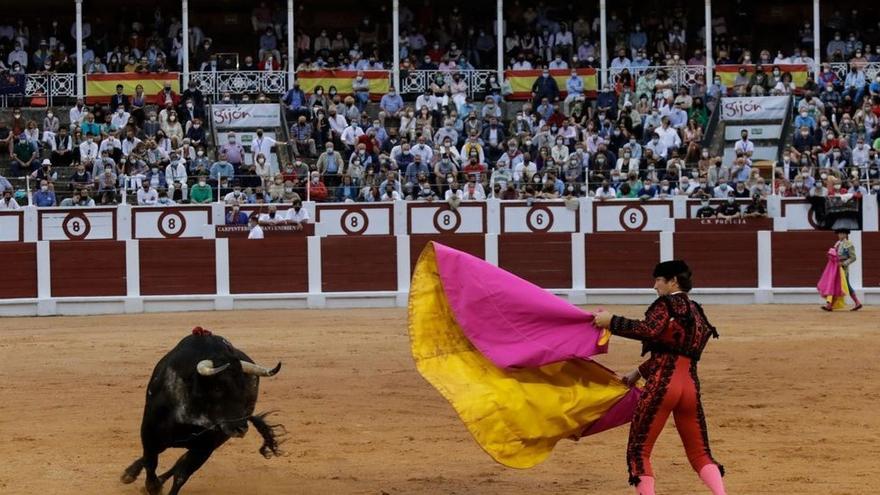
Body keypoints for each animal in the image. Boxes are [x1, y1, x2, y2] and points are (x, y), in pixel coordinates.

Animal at [120, 330, 284, 495]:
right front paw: (148, 483)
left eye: (246, 389)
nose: (241, 428)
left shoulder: (206, 447)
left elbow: (180, 475)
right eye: (217, 388)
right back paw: (129, 474)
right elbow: (150, 463)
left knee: (179, 463)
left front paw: (158, 484)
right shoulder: (149, 433)